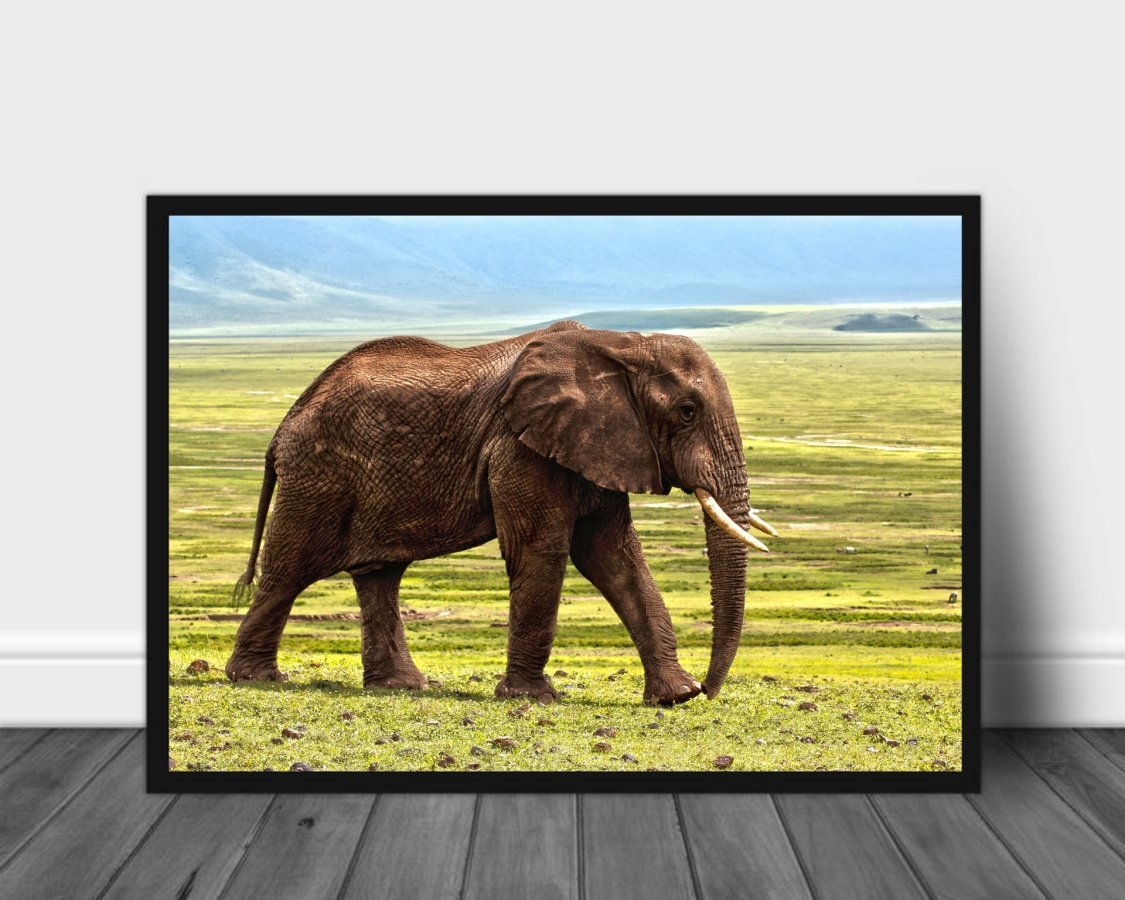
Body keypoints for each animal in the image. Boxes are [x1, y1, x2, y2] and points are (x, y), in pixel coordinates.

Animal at [225, 320, 777, 705]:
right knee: (289, 569)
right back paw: (255, 678)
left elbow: (614, 558)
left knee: (379, 575)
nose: (709, 690)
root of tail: (284, 424)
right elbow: (543, 551)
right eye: (687, 412)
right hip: (318, 474)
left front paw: (674, 697)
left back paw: (400, 687)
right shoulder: (519, 447)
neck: (621, 344)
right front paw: (534, 699)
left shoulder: (598, 446)